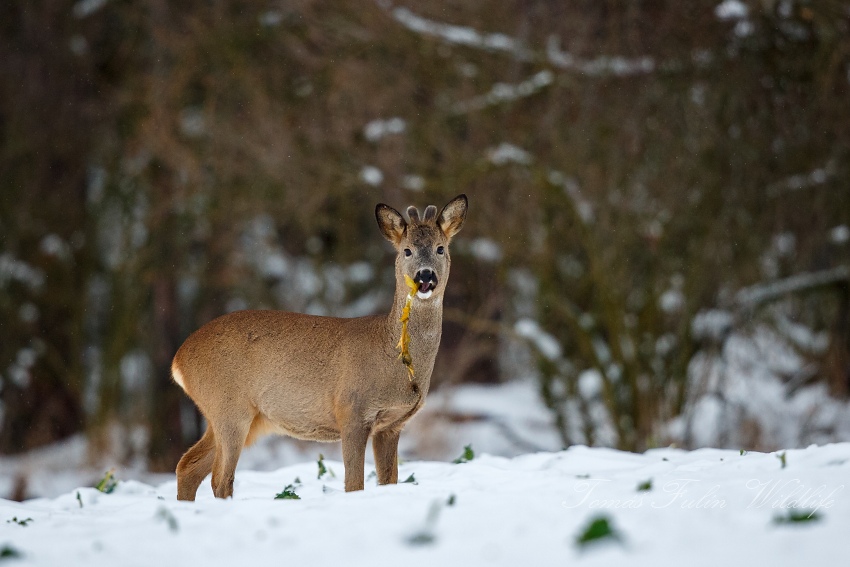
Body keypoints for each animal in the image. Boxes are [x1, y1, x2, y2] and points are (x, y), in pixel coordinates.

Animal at [172, 194, 468, 500]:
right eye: (407, 251)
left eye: (440, 248)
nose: (425, 277)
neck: (395, 359)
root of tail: (178, 360)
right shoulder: (351, 410)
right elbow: (354, 484)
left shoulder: (392, 425)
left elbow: (388, 481)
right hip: (229, 408)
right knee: (220, 478)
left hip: (236, 416)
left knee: (188, 465)